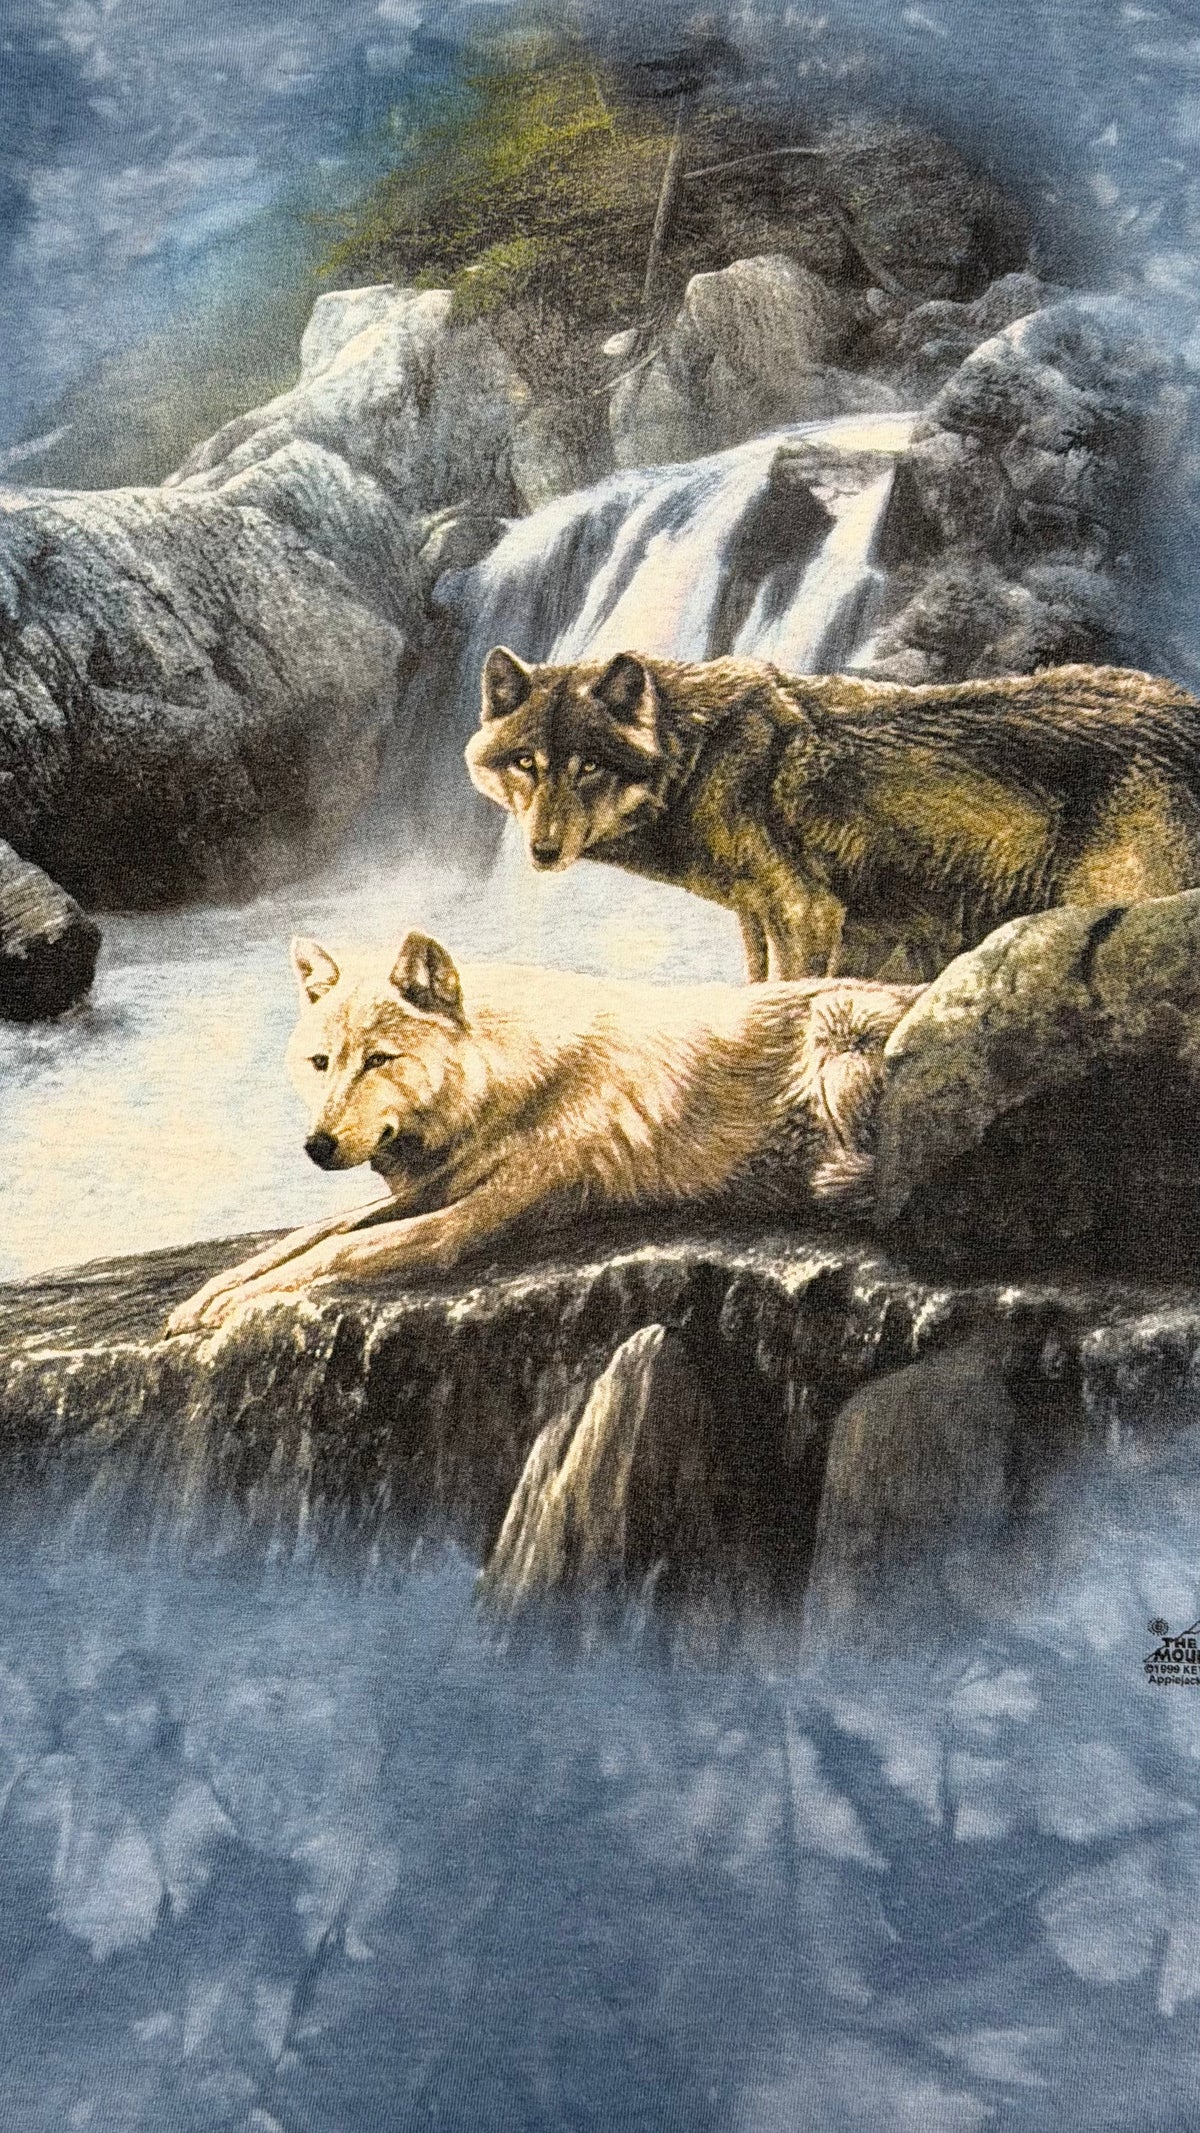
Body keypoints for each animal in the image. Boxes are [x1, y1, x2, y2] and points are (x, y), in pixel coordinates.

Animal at [165, 932, 920, 1333]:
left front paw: (231, 1304)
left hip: (840, 1032)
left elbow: (338, 1249)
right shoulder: (435, 1187)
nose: (316, 1147)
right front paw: (204, 1296)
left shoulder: (460, 1223)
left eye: (379, 1059)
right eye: (320, 1063)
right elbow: (307, 1236)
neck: (510, 1082)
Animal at [466, 649, 1200, 980]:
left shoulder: (806, 912)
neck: (700, 756)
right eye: (526, 763)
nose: (541, 851)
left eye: (589, 766)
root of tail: (1184, 709)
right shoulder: (766, 919)